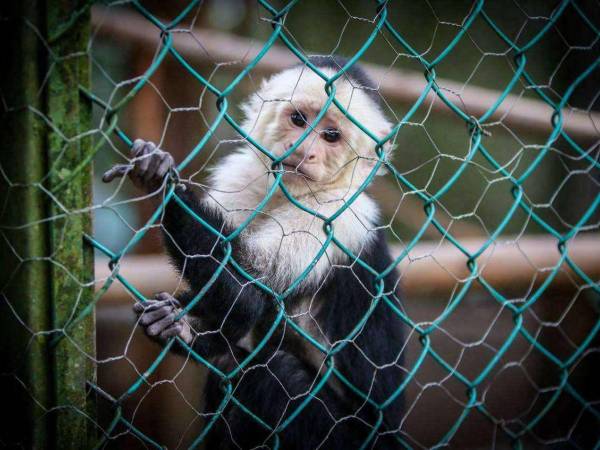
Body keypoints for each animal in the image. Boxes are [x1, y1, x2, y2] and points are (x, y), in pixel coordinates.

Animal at [103, 57, 406, 450]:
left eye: (332, 136)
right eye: (299, 119)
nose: (304, 149)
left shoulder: (335, 217)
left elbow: (250, 297)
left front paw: (165, 187)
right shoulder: (242, 178)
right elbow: (235, 313)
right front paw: (177, 326)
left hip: (347, 438)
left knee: (272, 373)